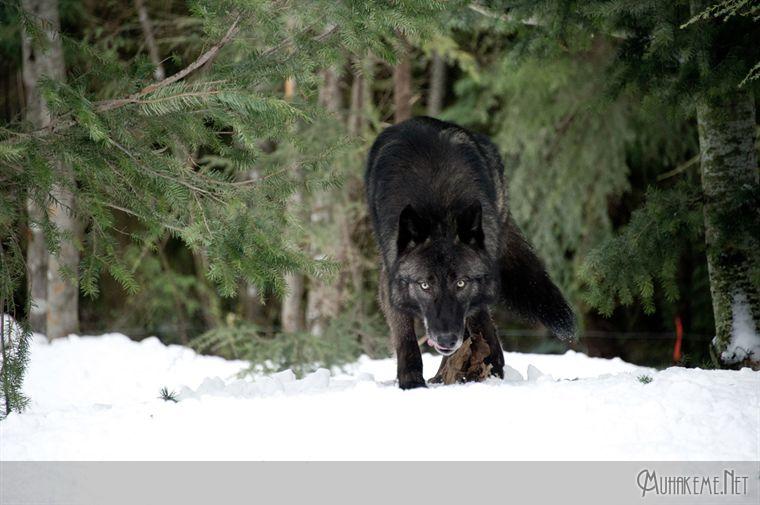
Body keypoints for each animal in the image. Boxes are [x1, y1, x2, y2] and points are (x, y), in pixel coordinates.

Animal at [365, 116, 576, 389]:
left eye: (461, 283)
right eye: (424, 285)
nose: (445, 339)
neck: (439, 210)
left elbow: (476, 320)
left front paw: (488, 364)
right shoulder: (390, 279)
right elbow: (405, 337)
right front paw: (412, 382)